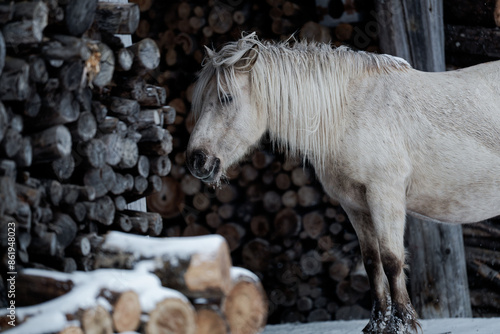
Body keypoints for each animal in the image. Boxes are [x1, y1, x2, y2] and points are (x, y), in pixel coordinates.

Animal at [185, 32, 500, 334]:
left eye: (226, 97)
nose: (197, 160)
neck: (349, 113)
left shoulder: (385, 195)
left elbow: (392, 261)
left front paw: (402, 324)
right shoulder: (355, 205)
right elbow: (372, 262)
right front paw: (377, 324)